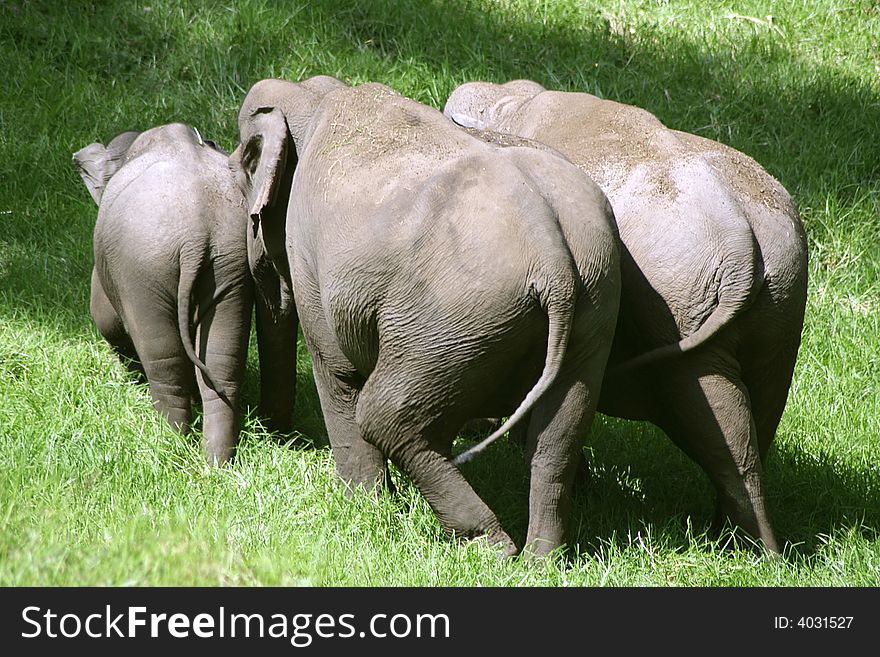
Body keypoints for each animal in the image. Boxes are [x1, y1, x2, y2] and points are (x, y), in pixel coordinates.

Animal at [75, 121, 296, 462]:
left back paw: (171, 444)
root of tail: (195, 237)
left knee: (165, 361)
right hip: (229, 266)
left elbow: (105, 318)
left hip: (144, 270)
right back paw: (216, 459)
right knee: (220, 363)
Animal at [230, 74, 624, 552]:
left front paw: (367, 507)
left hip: (451, 322)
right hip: (592, 305)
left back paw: (492, 548)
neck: (315, 95)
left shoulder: (308, 255)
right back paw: (540, 558)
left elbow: (337, 372)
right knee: (558, 436)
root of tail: (552, 258)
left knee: (384, 416)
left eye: (240, 171)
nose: (273, 437)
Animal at [446, 82, 812, 552]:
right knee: (758, 423)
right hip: (781, 307)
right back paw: (740, 544)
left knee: (712, 415)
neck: (509, 105)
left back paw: (751, 549)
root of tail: (738, 235)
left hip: (683, 307)